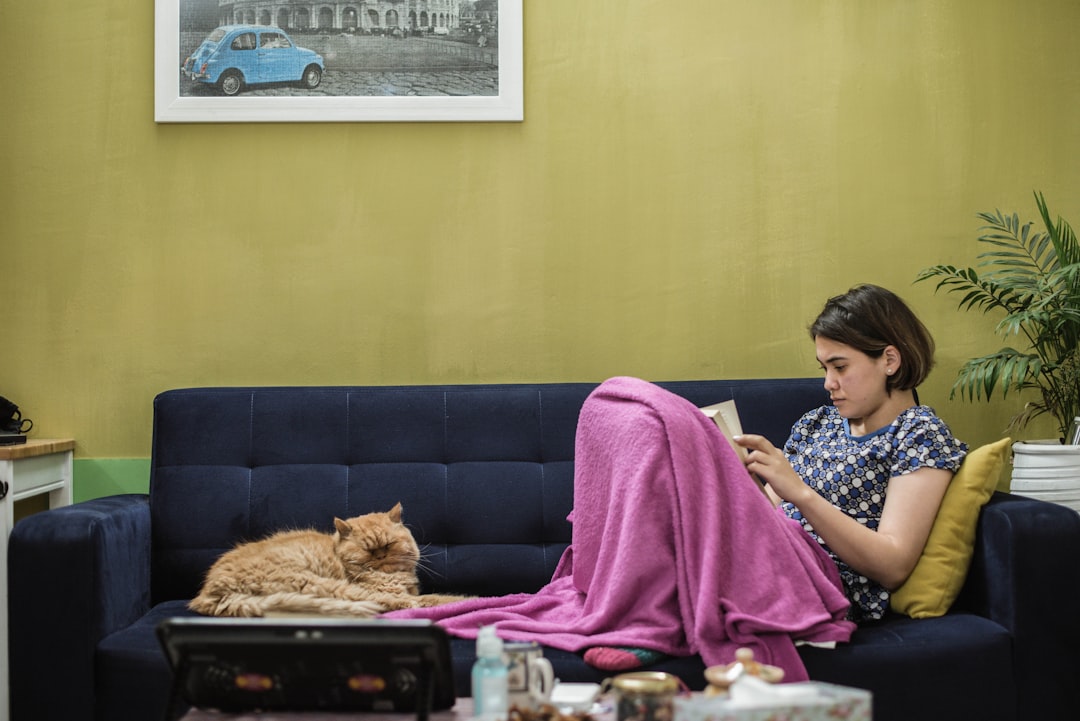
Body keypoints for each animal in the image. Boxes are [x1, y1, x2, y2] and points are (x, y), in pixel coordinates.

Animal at [190, 505, 468, 617]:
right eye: (368, 550)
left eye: (388, 545)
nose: (380, 556)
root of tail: (209, 593)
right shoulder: (391, 590)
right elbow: (430, 598)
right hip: (319, 584)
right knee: (397, 603)